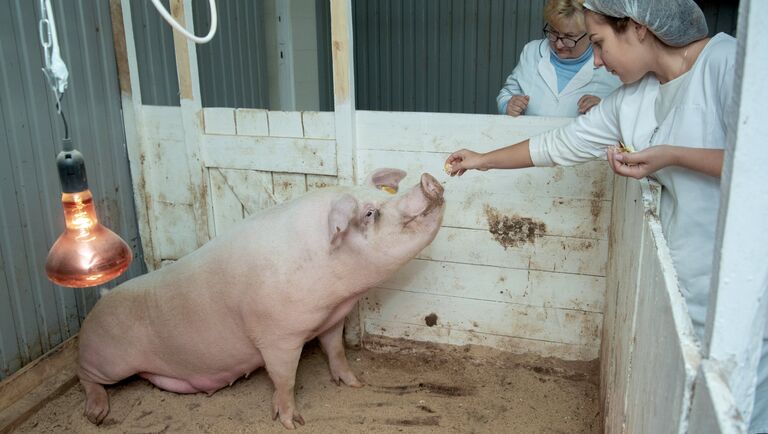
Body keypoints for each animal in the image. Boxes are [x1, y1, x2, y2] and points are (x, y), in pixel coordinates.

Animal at [76, 168, 444, 428]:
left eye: (380, 194)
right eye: (369, 213)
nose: (429, 180)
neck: (335, 293)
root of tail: (100, 300)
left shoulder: (331, 320)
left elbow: (336, 350)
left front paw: (355, 384)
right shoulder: (277, 336)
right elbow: (285, 378)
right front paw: (293, 422)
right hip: (109, 360)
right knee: (84, 375)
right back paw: (96, 414)